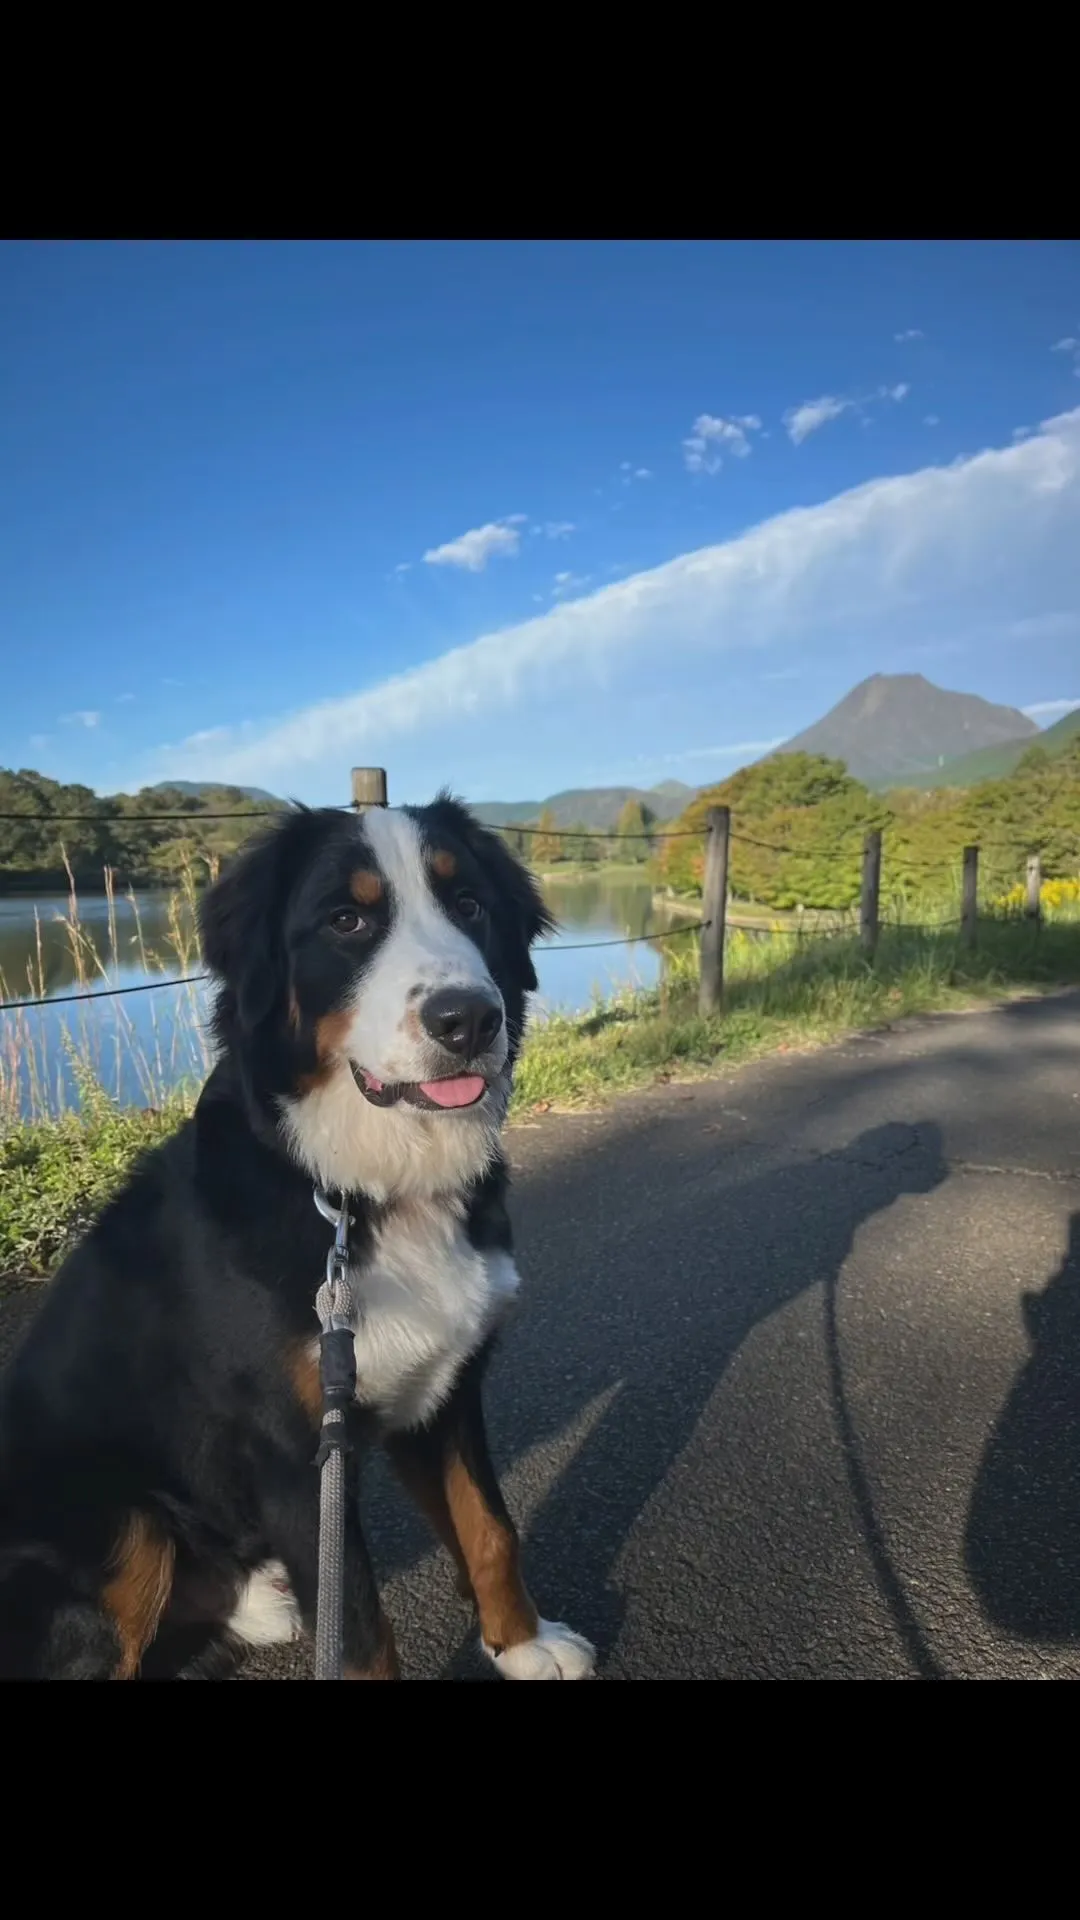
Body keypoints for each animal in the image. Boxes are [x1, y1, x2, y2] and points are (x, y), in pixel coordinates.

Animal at [0, 794, 588, 1681]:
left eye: (470, 905)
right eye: (347, 919)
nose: (469, 1019)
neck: (354, 1191)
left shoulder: (444, 1393)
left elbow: (490, 1528)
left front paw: (524, 1644)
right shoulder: (295, 1459)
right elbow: (363, 1635)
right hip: (122, 1526)